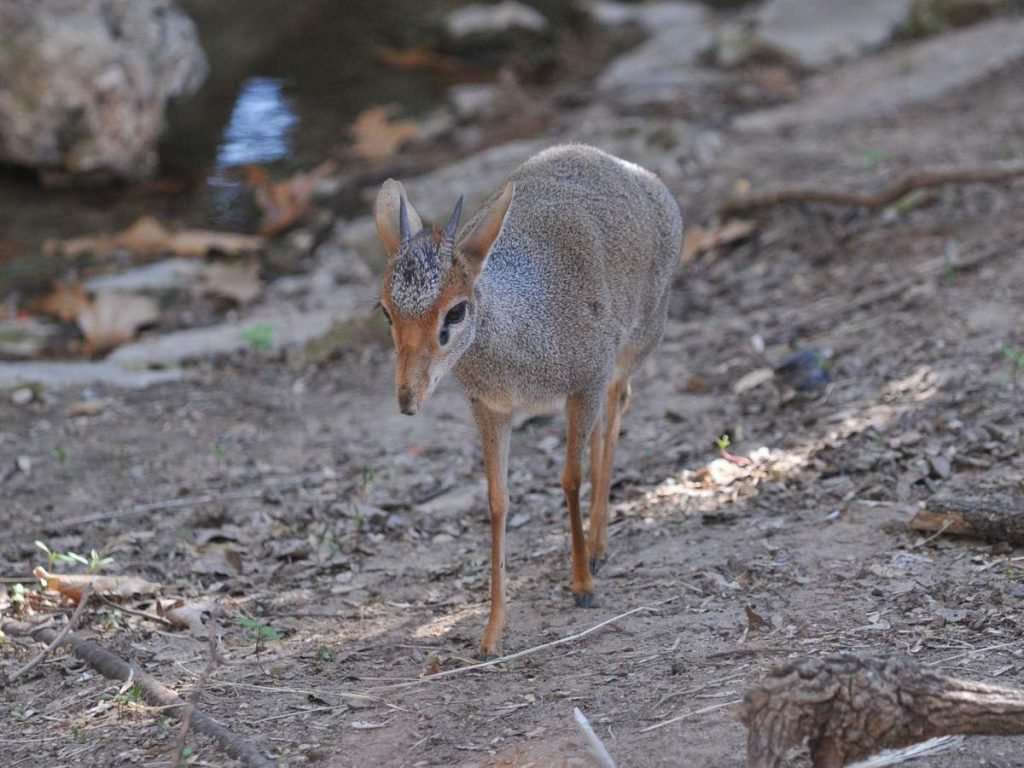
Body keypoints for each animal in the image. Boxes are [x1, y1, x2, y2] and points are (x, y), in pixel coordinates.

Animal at [374, 143, 679, 655]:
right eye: (385, 312)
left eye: (455, 311)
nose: (406, 398)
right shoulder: (490, 407)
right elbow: (497, 501)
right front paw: (492, 631)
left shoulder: (584, 381)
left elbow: (570, 478)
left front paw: (582, 585)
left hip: (634, 346)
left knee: (618, 404)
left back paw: (597, 548)